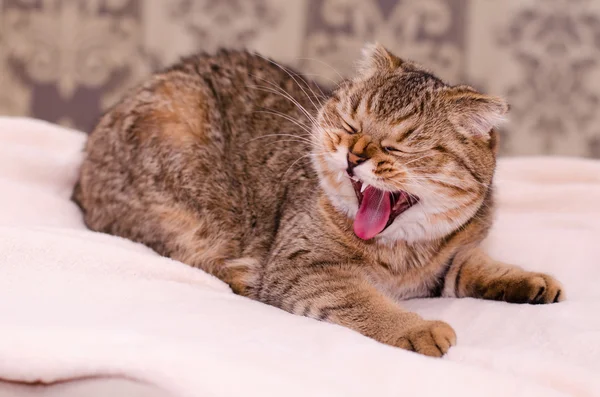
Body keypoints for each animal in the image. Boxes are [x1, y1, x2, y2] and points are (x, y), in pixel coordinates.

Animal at [72, 43, 564, 356]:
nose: (354, 155)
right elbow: (366, 303)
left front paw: (527, 279)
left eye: (400, 145)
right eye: (350, 124)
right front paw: (417, 327)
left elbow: (478, 265)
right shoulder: (304, 267)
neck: (403, 255)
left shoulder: (454, 256)